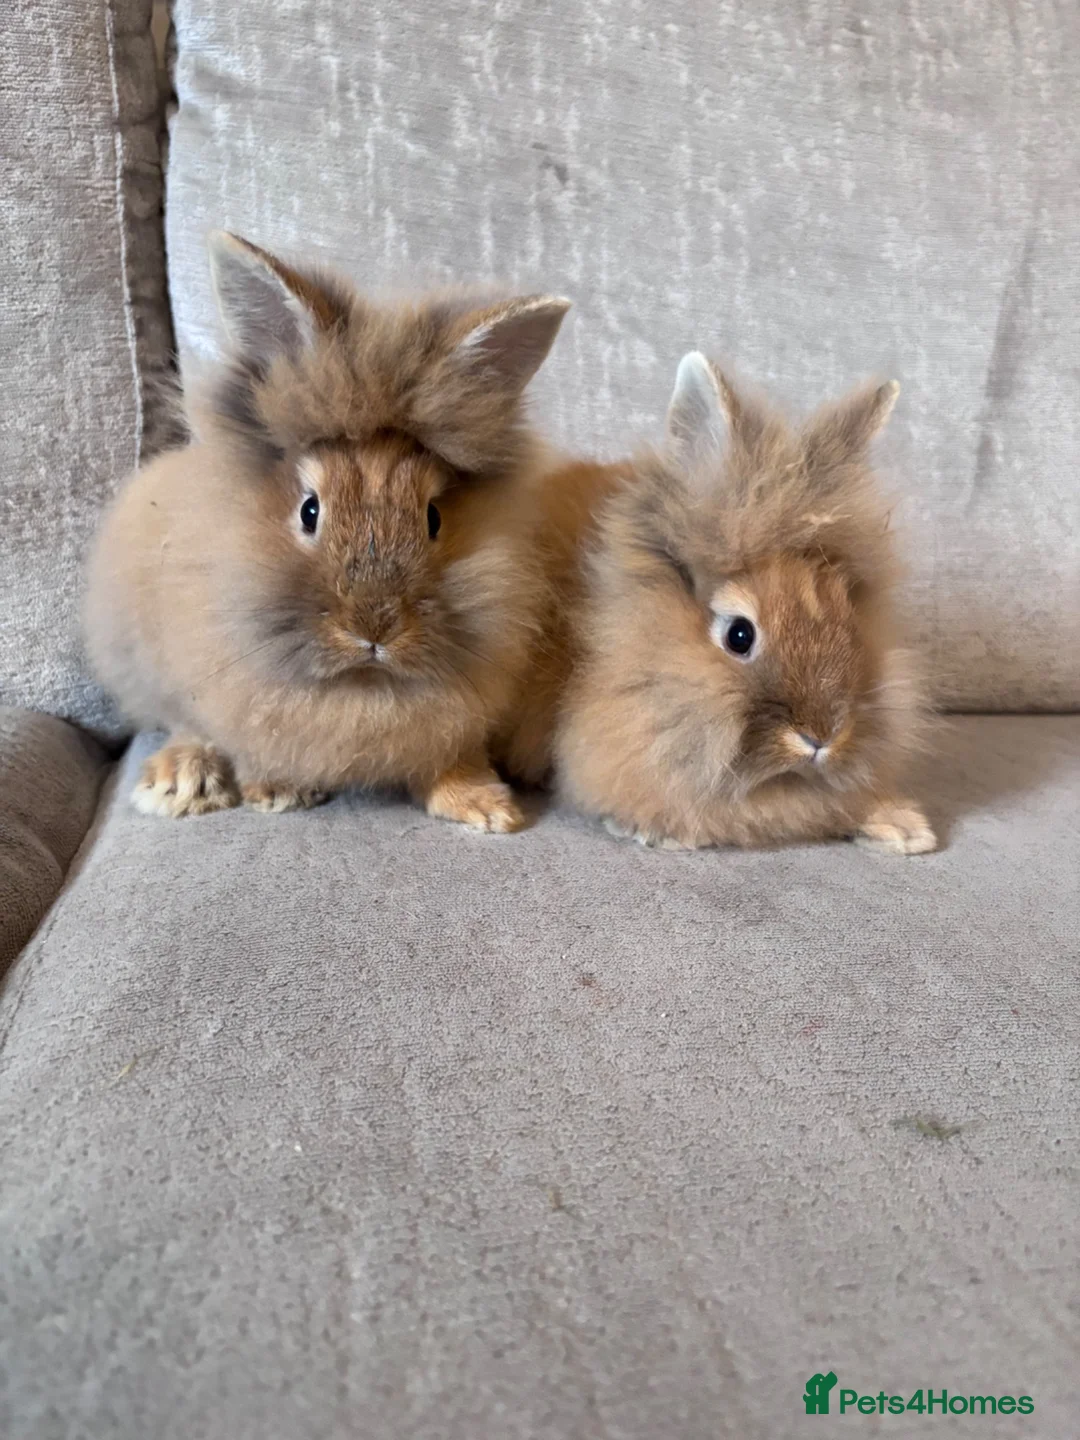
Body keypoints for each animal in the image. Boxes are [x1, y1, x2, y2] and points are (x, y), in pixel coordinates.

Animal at [84, 231, 570, 831]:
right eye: (309, 511)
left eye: (433, 517)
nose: (374, 628)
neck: (362, 688)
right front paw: (278, 790)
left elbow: (450, 756)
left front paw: (487, 807)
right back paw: (182, 780)